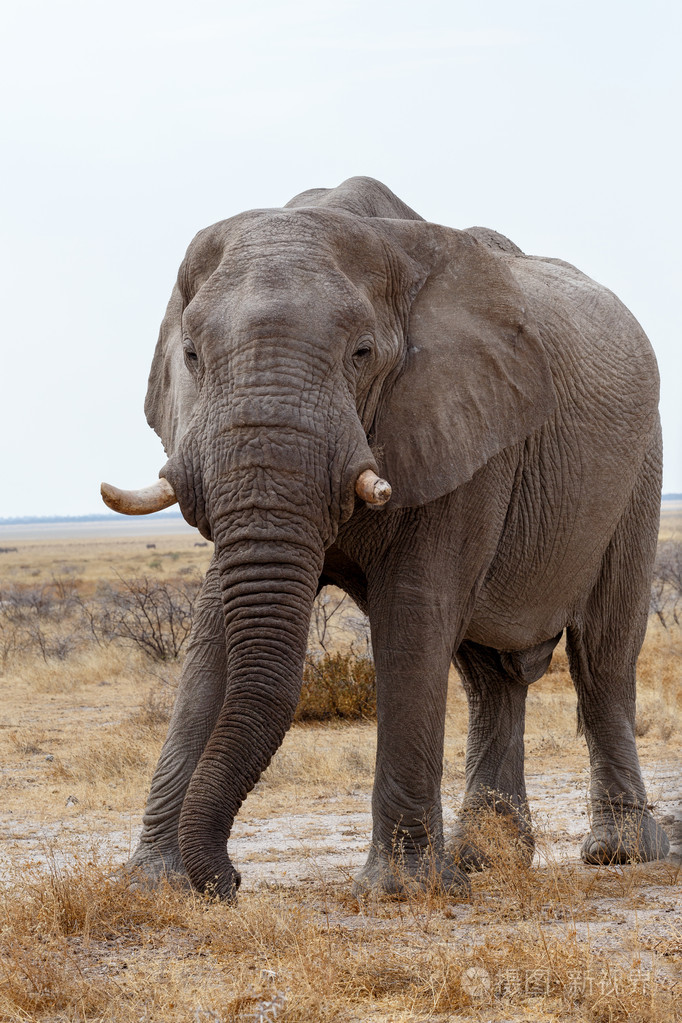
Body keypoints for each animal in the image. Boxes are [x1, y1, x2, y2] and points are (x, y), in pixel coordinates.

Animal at [102, 178, 670, 904]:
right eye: (194, 357)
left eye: (361, 354)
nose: (230, 880)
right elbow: (212, 636)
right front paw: (152, 885)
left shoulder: (467, 428)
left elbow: (412, 616)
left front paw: (399, 890)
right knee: (489, 678)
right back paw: (485, 859)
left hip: (639, 466)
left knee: (602, 656)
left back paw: (618, 852)